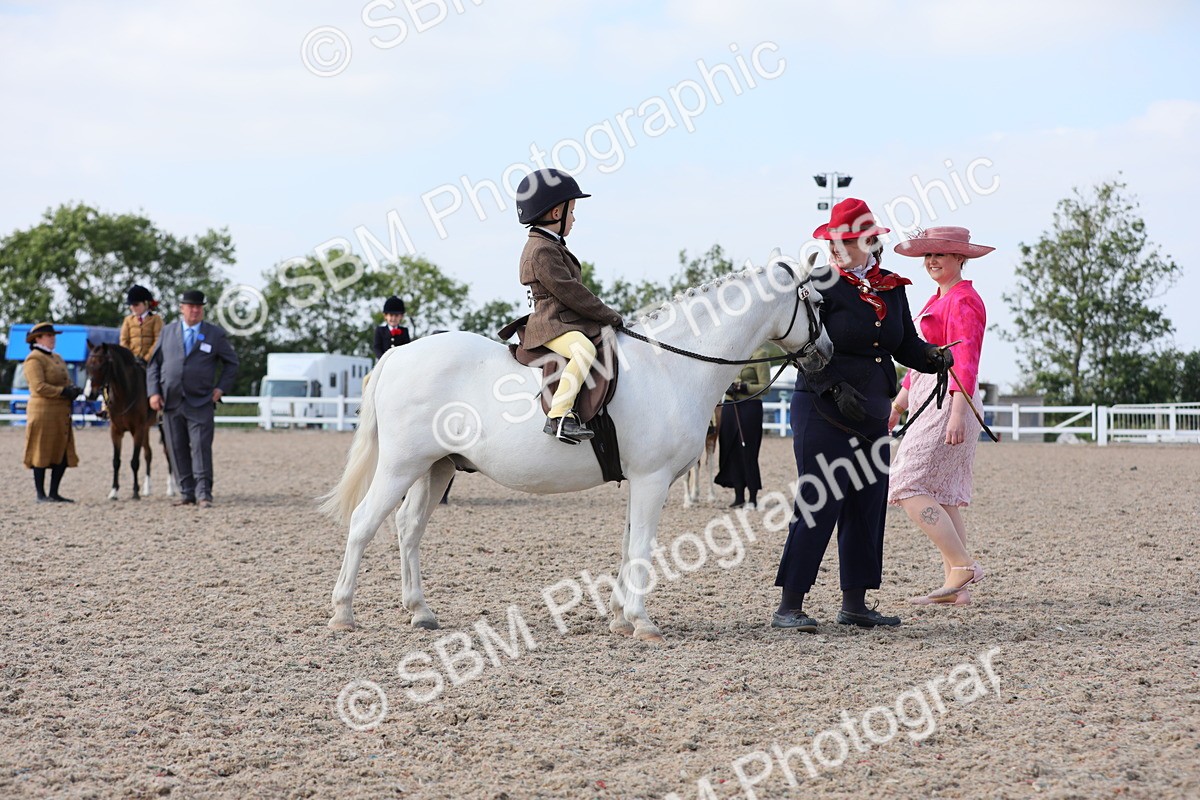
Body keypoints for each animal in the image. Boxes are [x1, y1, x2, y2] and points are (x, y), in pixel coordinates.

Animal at [84, 343, 170, 500]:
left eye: (102, 365)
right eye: (87, 365)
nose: (89, 395)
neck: (124, 394)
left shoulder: (137, 430)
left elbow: (134, 462)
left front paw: (135, 492)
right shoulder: (116, 431)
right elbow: (116, 461)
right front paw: (114, 491)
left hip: (159, 427)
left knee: (167, 453)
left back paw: (171, 489)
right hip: (146, 430)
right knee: (148, 454)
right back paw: (147, 489)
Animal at [320, 258, 832, 642]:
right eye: (819, 302)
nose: (825, 352)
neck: (672, 364)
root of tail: (397, 355)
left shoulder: (641, 481)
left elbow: (627, 545)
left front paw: (619, 618)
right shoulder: (653, 480)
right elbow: (642, 546)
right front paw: (643, 622)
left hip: (437, 467)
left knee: (408, 528)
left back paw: (420, 611)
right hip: (401, 466)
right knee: (364, 523)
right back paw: (343, 613)